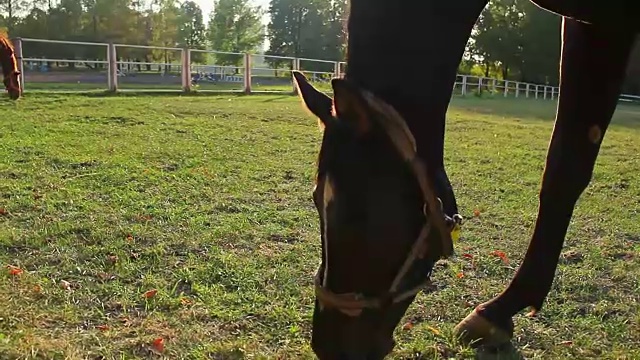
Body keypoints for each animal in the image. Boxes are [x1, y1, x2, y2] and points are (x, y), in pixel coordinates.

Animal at [292, 0, 636, 358]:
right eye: (316, 199)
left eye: (357, 216)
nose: (328, 345)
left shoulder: (606, 26)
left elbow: (566, 169)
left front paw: (499, 310)